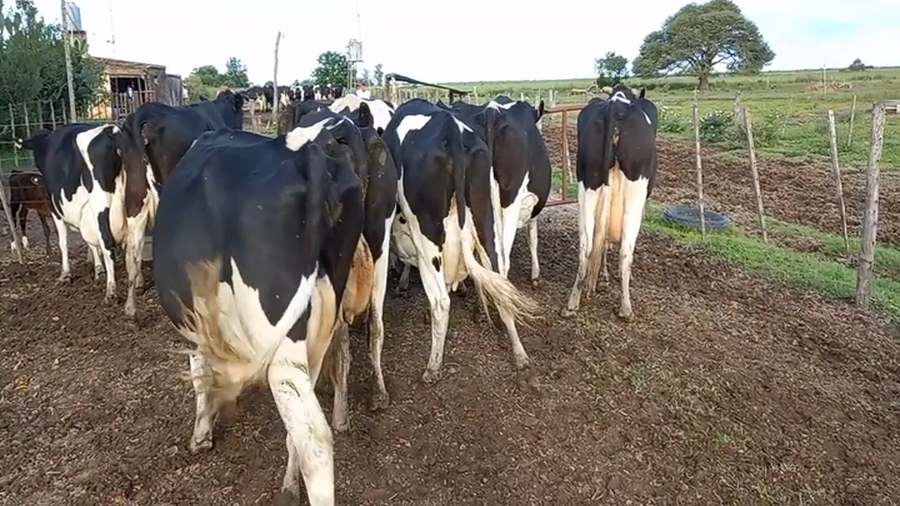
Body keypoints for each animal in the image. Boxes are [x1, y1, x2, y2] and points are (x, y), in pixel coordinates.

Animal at [15, 125, 127, 298]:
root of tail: (110, 131)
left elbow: (63, 241)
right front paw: (98, 270)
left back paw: (111, 291)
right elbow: (90, 243)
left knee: (107, 242)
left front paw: (65, 274)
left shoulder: (55, 210)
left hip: (100, 204)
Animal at [152, 121, 363, 506]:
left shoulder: (195, 324)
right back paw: (288, 485)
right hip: (319, 324)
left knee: (315, 441)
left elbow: (199, 373)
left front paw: (201, 435)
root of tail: (308, 156)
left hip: (281, 344)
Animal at [383, 98, 539, 382]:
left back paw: (432, 368)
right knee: (501, 277)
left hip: (427, 232)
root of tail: (451, 129)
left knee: (441, 301)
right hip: (486, 217)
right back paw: (520, 354)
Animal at [561, 84, 658, 321]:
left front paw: (601, 277)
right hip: (635, 194)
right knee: (625, 251)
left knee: (586, 246)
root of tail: (616, 106)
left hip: (588, 186)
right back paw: (626, 308)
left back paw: (572, 302)